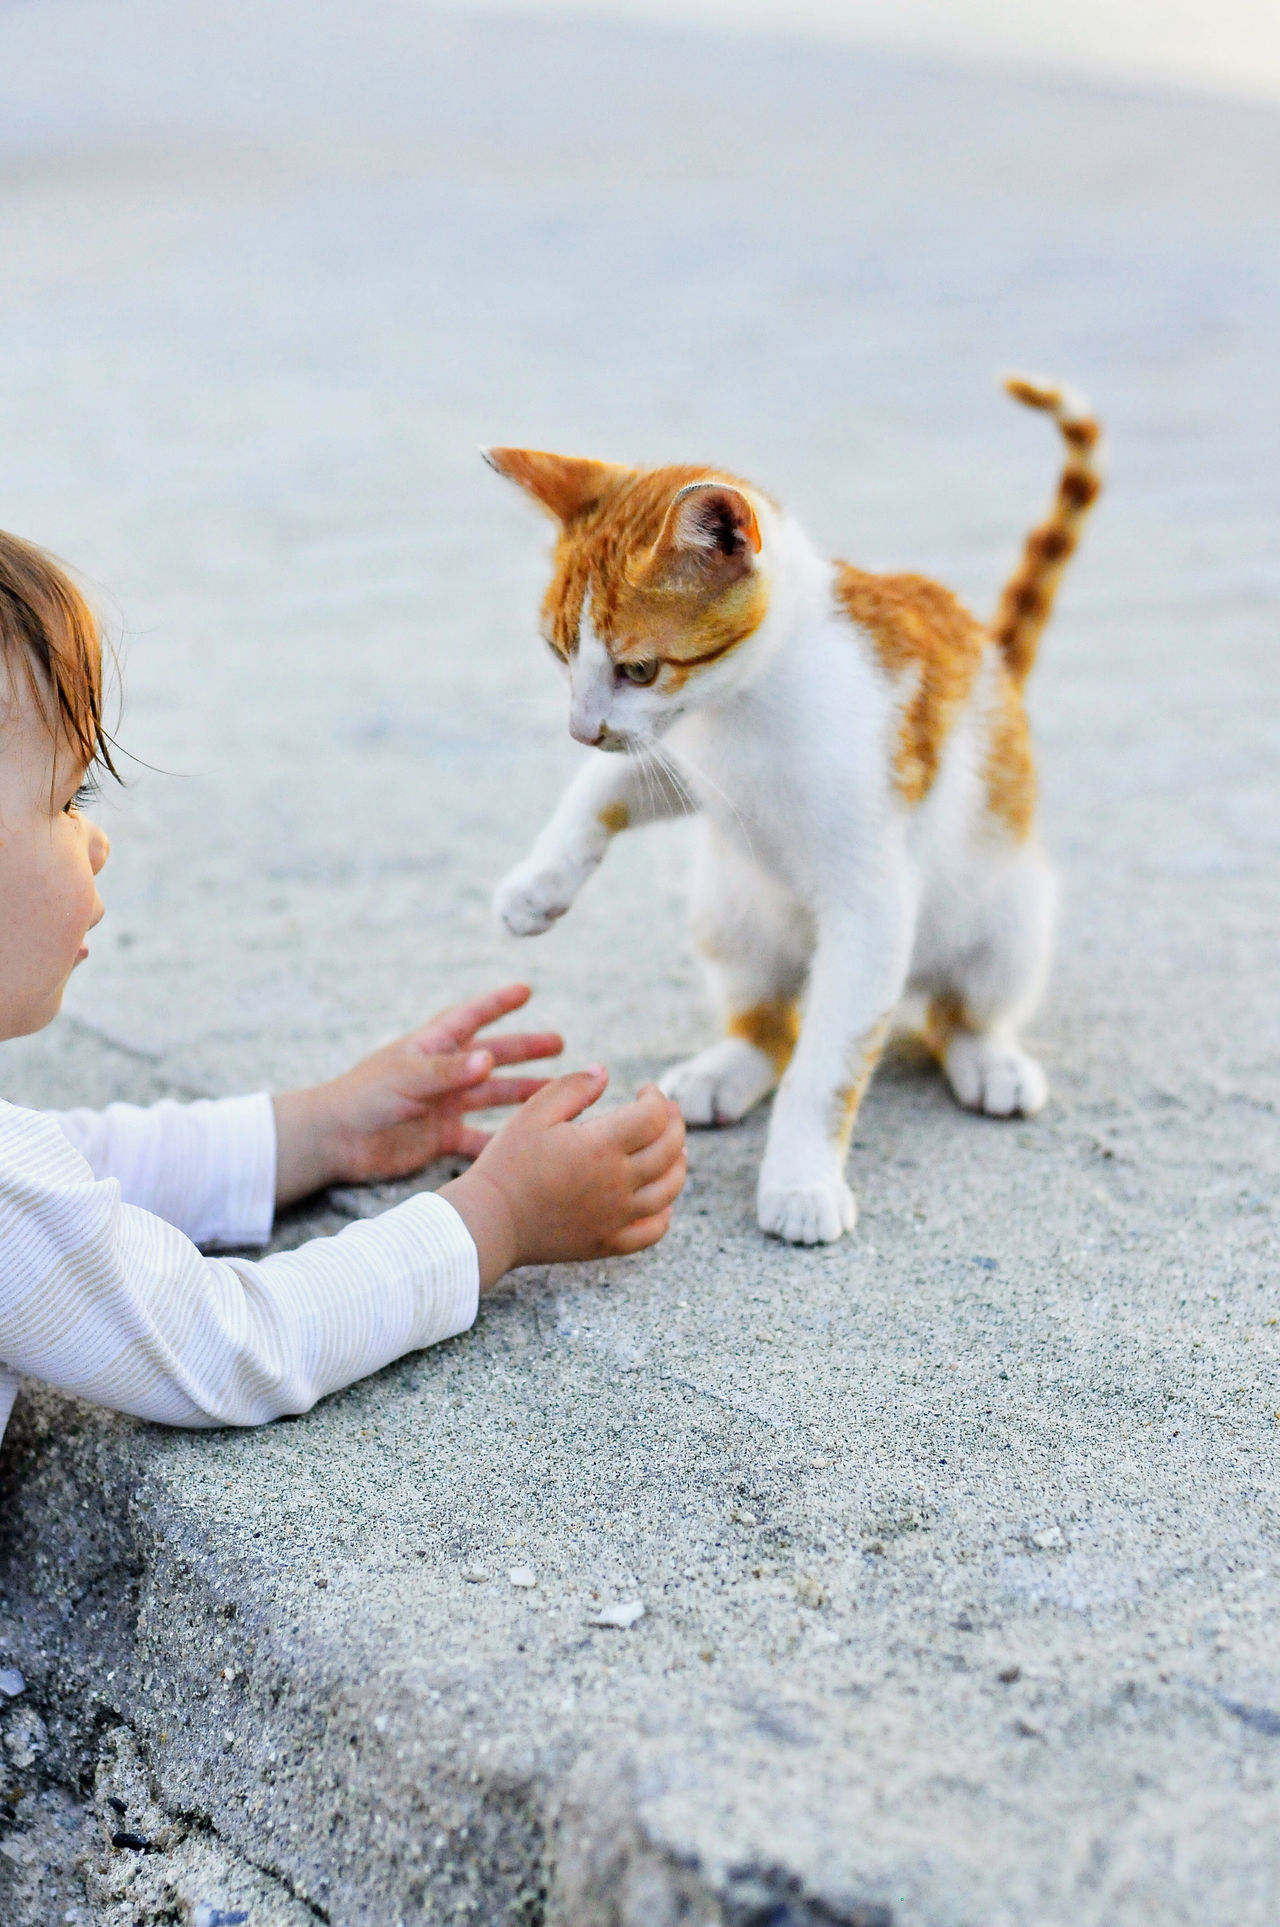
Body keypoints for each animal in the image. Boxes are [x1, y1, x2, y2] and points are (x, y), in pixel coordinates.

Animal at [489, 377, 1102, 1248]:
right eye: (556, 652)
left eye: (639, 668)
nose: (580, 726)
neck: (745, 704)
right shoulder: (688, 763)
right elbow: (603, 788)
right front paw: (537, 885)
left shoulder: (871, 907)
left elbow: (828, 1063)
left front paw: (802, 1177)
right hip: (732, 908)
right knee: (769, 1021)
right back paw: (728, 1065)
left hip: (1010, 915)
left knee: (957, 1009)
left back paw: (988, 1056)